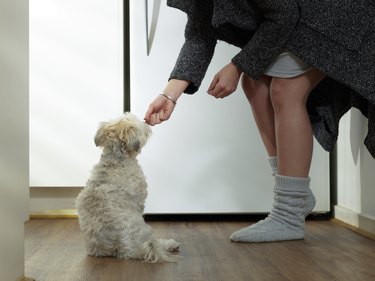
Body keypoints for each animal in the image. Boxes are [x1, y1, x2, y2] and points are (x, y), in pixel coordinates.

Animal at [75, 112, 181, 262]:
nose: (147, 123)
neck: (118, 159)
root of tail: (123, 248)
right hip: (146, 231)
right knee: (156, 243)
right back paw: (171, 244)